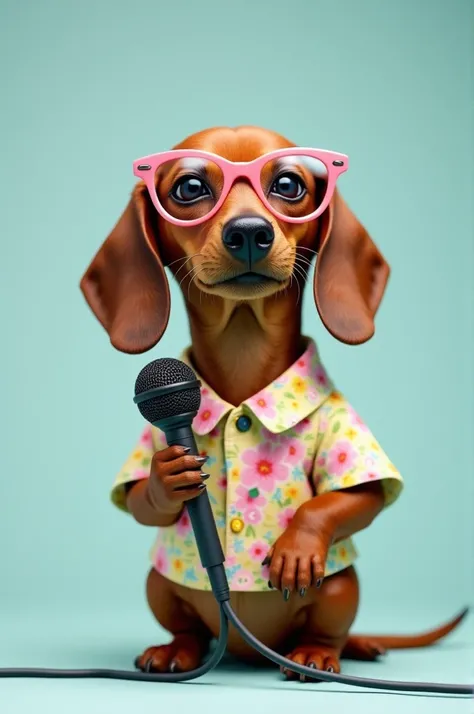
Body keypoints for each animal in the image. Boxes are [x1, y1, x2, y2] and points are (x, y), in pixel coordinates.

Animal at [80, 125, 466, 676]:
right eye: (189, 187)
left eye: (288, 183)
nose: (248, 232)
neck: (244, 365)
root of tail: (248, 649)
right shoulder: (155, 428)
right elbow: (141, 501)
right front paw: (169, 474)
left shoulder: (350, 445)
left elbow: (345, 500)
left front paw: (295, 547)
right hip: (159, 585)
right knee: (186, 626)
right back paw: (177, 649)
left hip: (341, 588)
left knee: (330, 627)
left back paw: (322, 653)